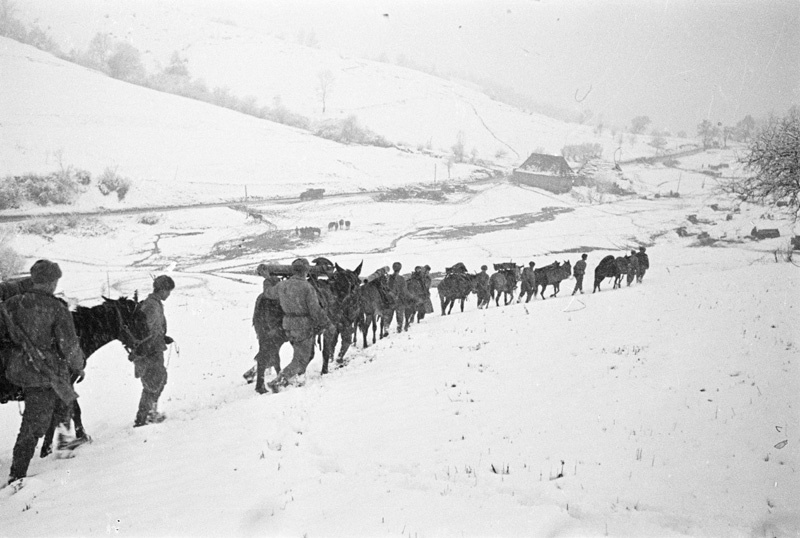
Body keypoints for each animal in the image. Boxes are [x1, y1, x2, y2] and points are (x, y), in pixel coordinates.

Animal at [0, 296, 141, 454]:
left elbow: (68, 412)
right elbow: (67, 413)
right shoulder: (61, 387)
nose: (144, 347)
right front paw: (55, 446)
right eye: (137, 317)